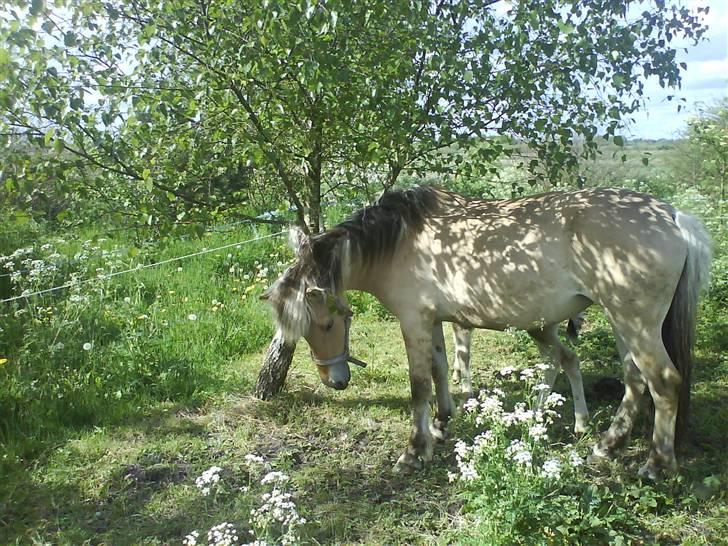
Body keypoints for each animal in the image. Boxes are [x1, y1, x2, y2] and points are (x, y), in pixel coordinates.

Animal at [262, 186, 712, 476]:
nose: (335, 381)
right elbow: (442, 371)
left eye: (328, 323)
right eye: (305, 331)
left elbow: (419, 385)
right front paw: (441, 425)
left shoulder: (414, 322)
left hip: (635, 324)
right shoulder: (434, 321)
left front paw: (414, 451)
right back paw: (606, 444)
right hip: (623, 325)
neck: (401, 241)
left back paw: (656, 465)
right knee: (632, 380)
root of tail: (671, 216)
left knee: (663, 382)